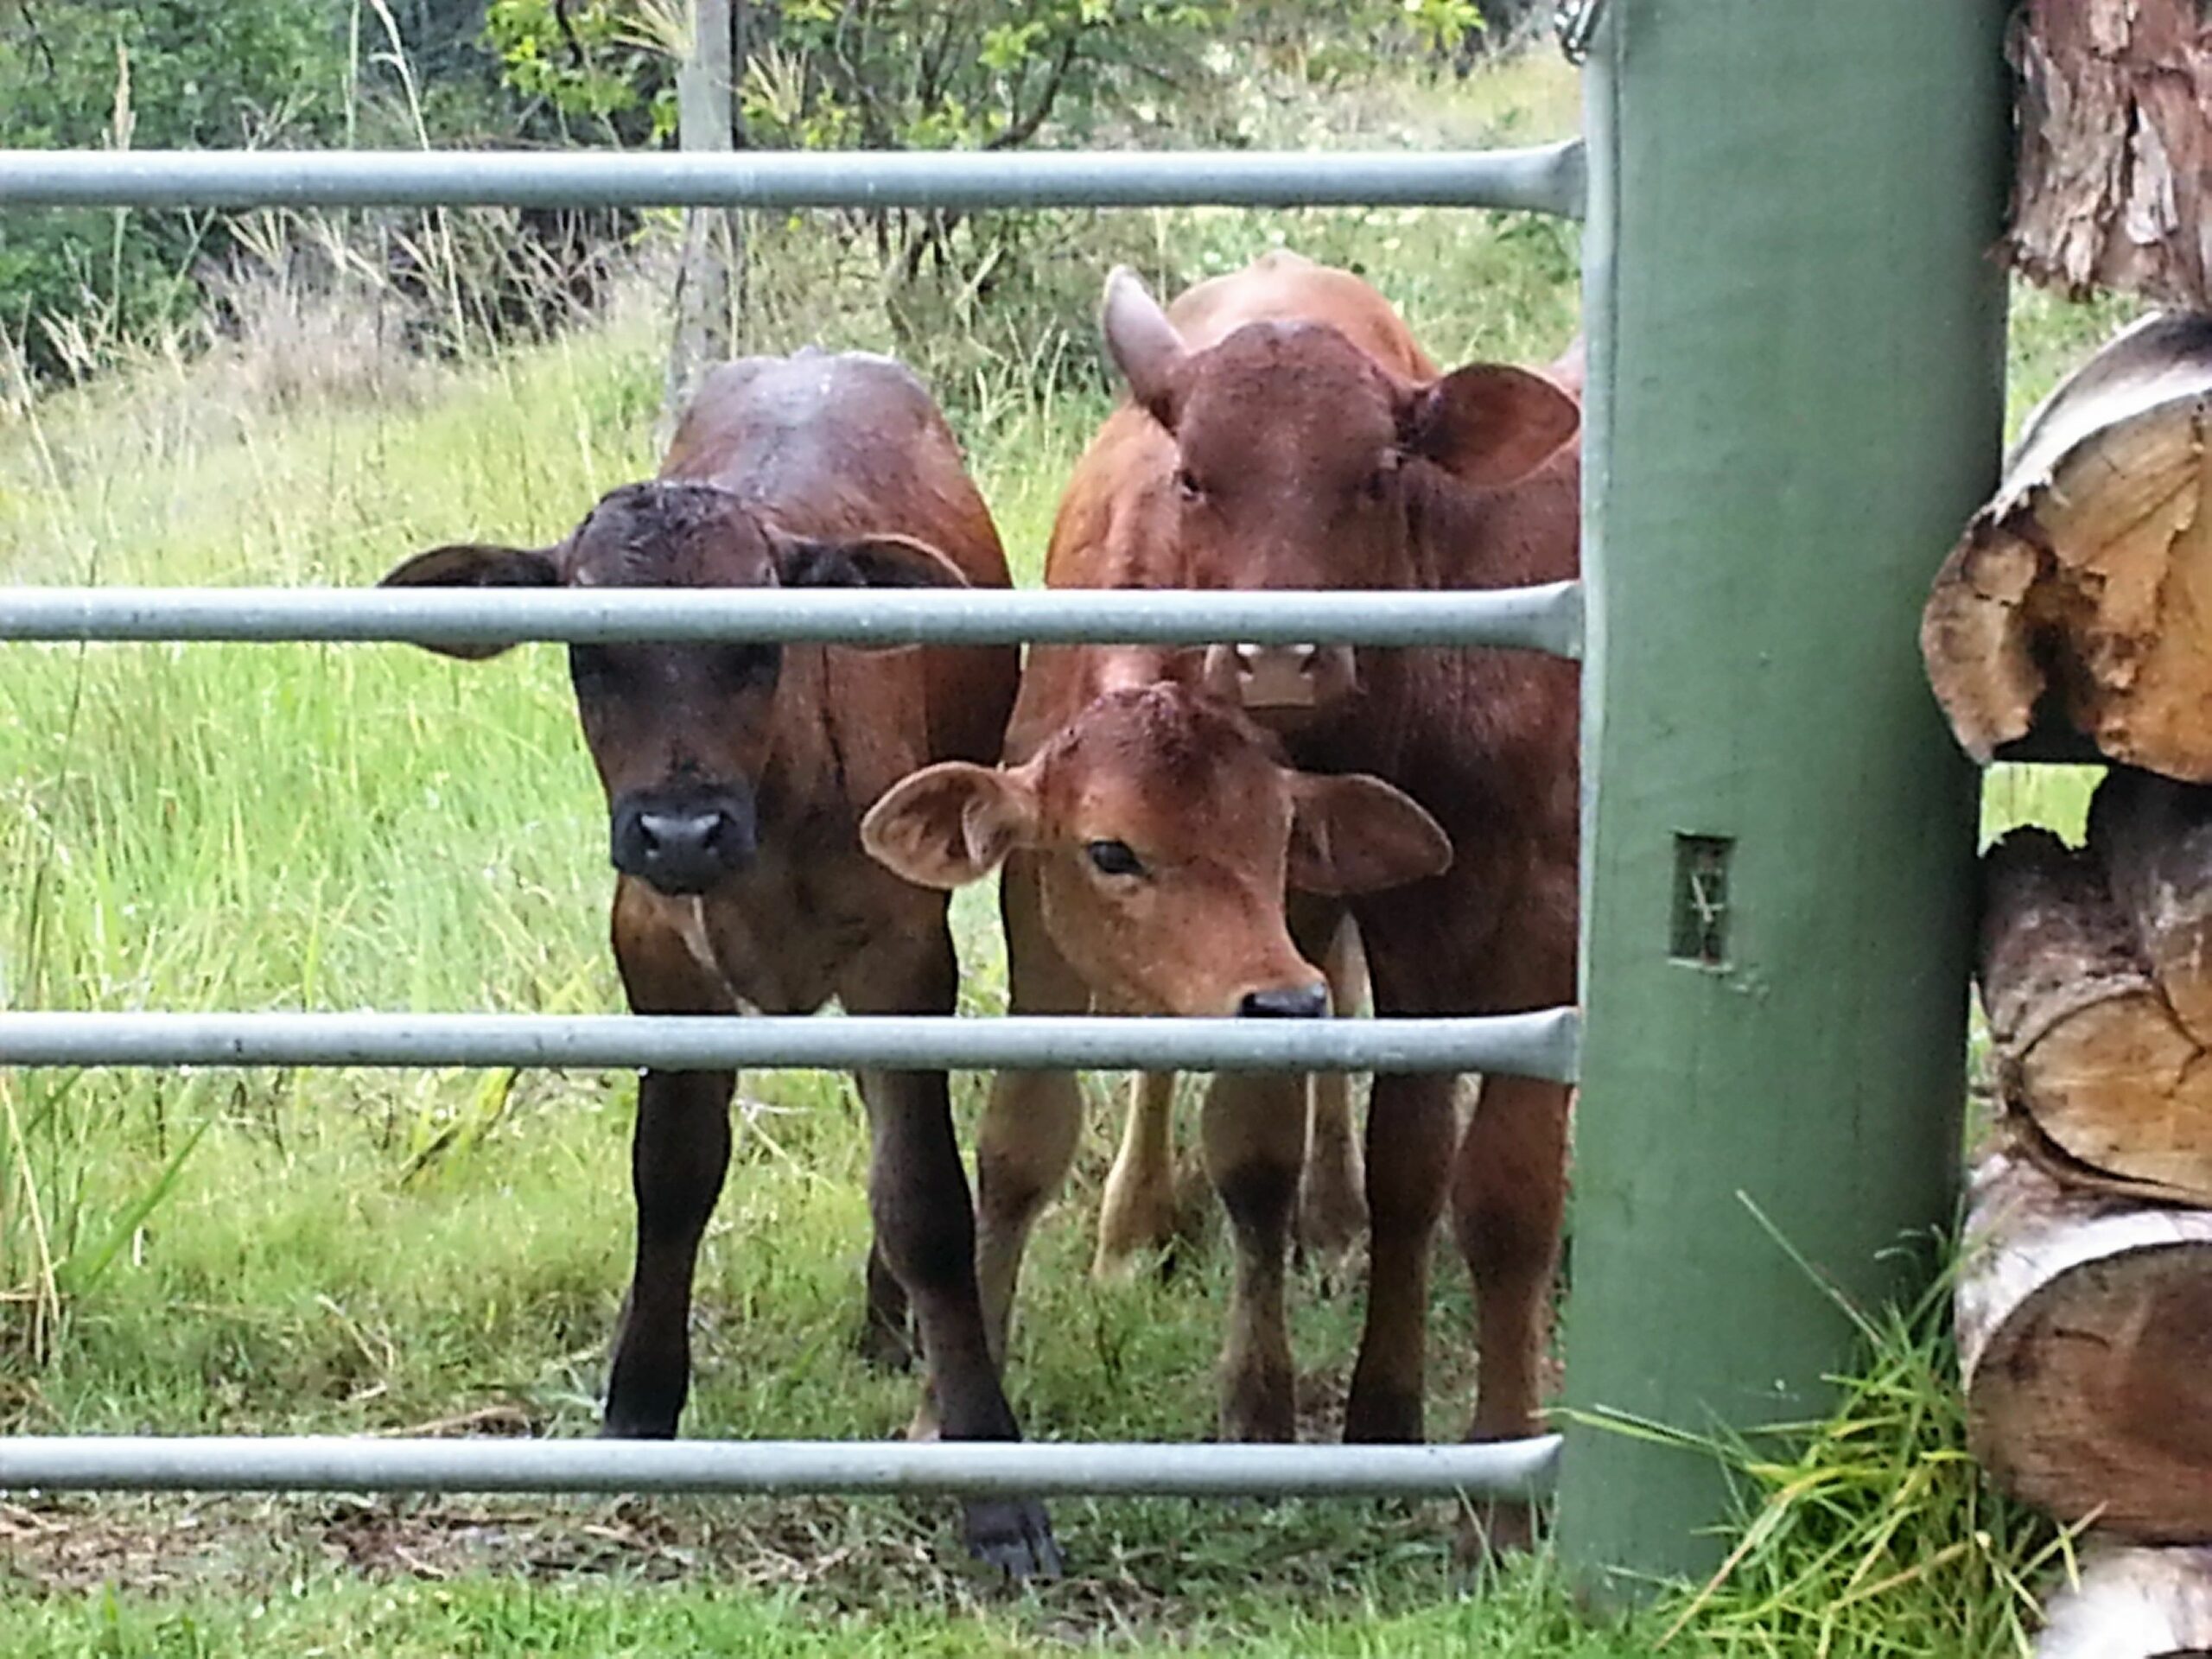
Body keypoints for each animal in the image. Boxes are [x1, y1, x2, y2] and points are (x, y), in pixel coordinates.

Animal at [369, 353, 1052, 1583]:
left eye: (755, 645)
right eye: (590, 654)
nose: (679, 830)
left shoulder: (904, 953)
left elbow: (925, 1198)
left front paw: (991, 1477)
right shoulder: (655, 953)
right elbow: (674, 1171)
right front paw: (639, 1402)